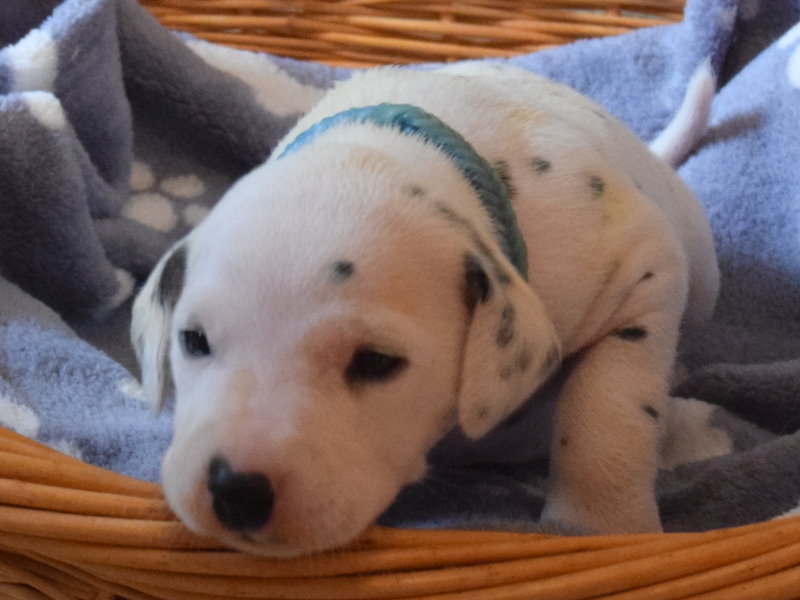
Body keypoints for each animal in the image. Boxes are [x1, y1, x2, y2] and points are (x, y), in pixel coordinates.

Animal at [132, 61, 719, 556]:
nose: (236, 491)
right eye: (194, 341)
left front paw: (601, 526)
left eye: (376, 362)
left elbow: (608, 408)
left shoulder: (645, 272)